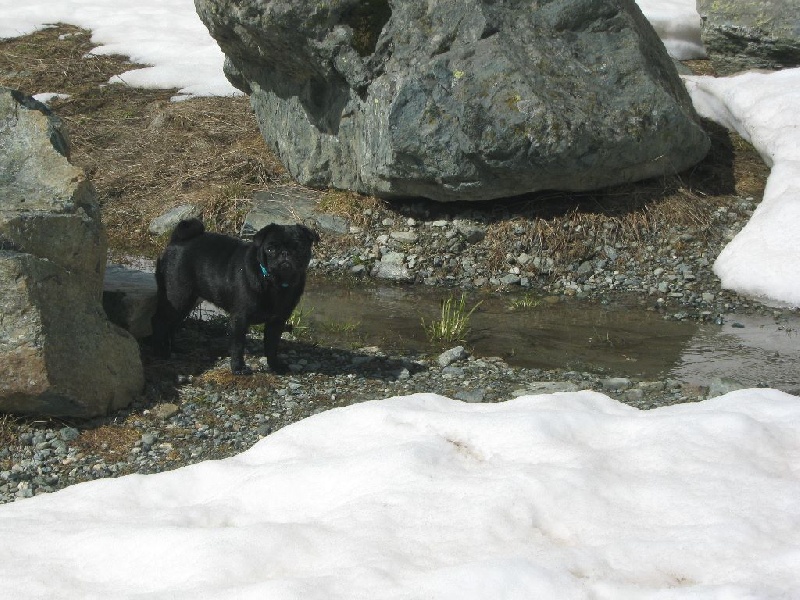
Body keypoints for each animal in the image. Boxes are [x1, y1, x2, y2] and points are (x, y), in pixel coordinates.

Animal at [152, 216, 318, 376]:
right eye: (270, 249)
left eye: (299, 248)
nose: (285, 254)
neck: (274, 282)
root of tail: (178, 240)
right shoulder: (240, 319)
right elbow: (238, 346)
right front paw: (238, 368)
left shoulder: (277, 322)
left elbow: (272, 346)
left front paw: (275, 366)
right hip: (177, 297)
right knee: (161, 322)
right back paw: (161, 351)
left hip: (186, 303)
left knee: (172, 325)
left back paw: (174, 348)